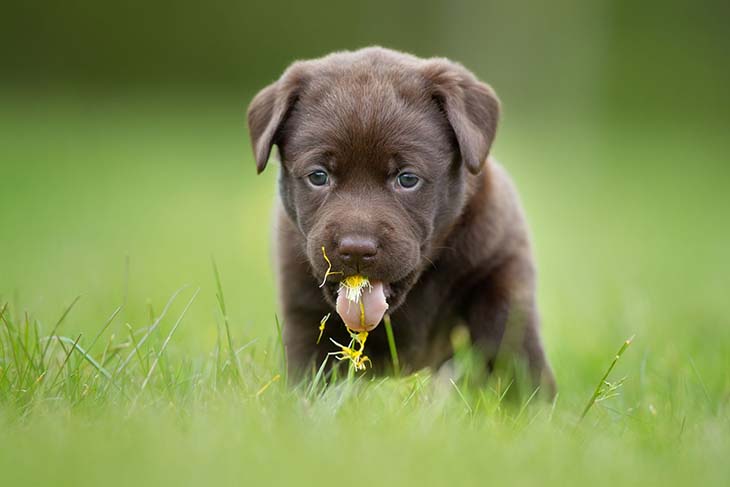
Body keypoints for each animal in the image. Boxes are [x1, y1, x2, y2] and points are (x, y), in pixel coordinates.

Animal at [247, 46, 556, 396]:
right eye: (318, 176)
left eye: (407, 179)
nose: (356, 249)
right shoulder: (302, 306)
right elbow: (311, 371)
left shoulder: (499, 268)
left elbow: (512, 345)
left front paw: (528, 402)